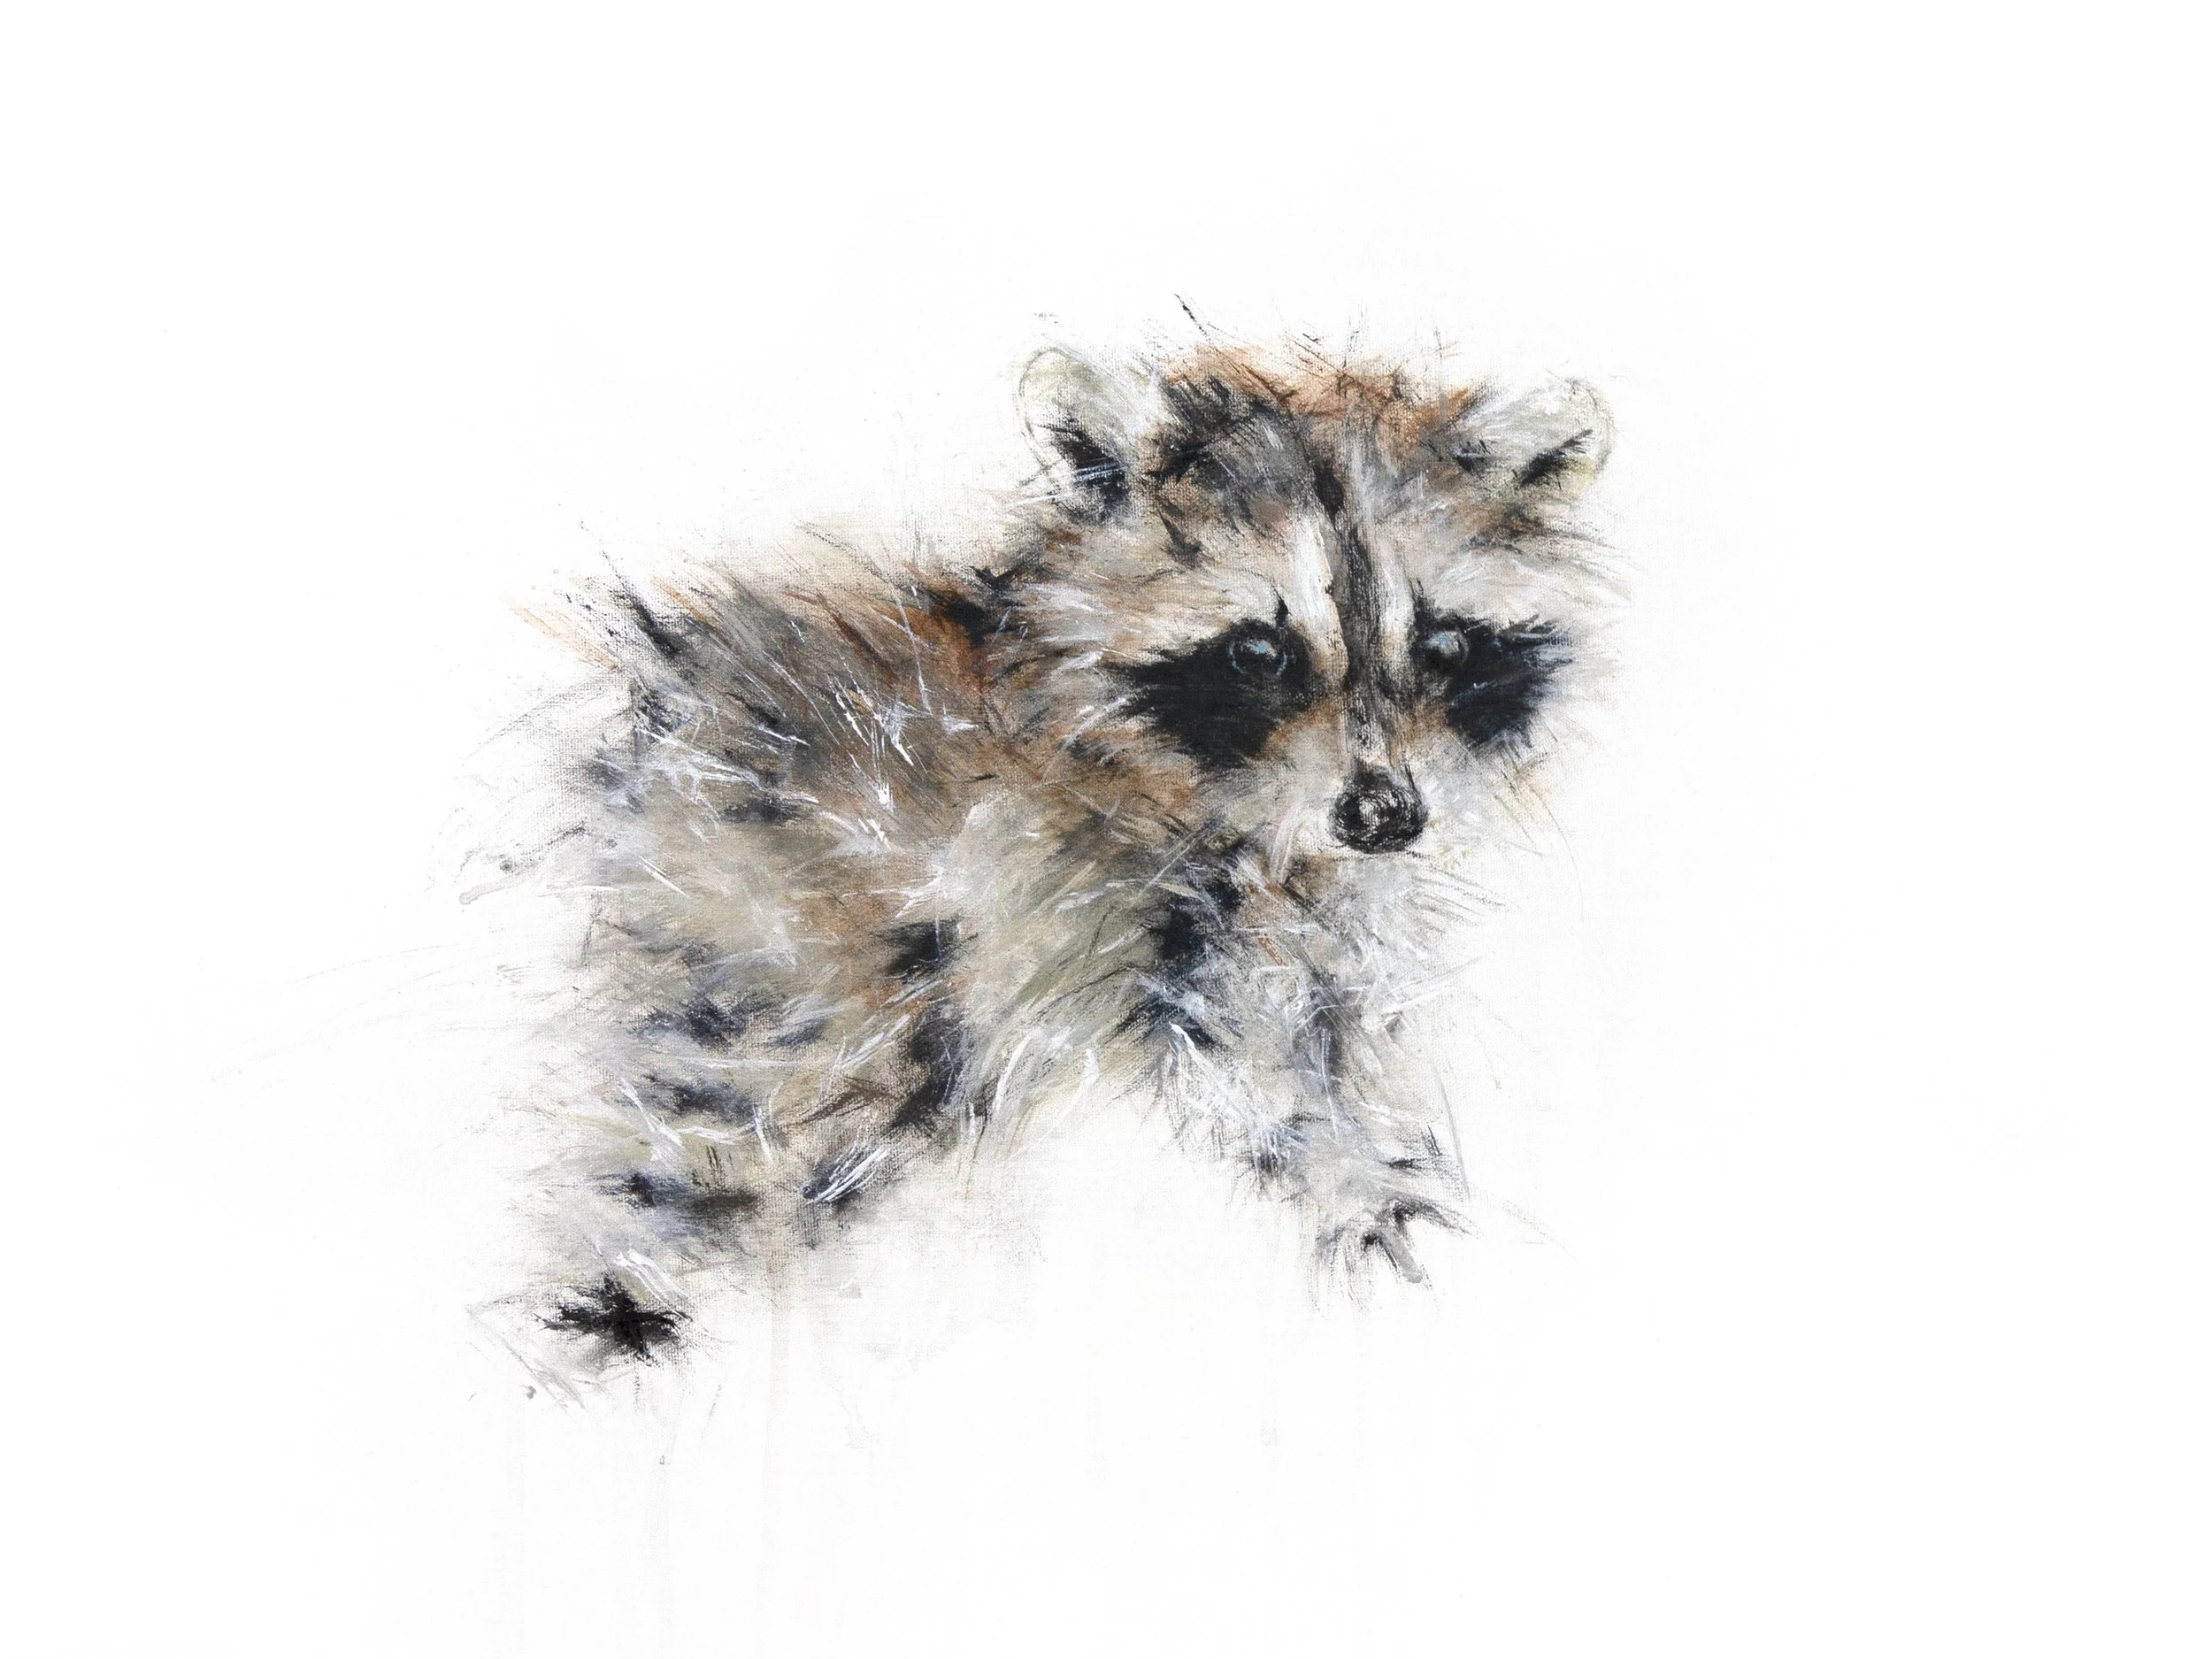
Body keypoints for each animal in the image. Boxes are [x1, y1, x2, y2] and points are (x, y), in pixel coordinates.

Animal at [508, 339, 1614, 1367]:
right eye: (1258, 652)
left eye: (1446, 647)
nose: (1382, 815)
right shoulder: (1092, 898)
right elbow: (1231, 1053)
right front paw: (1346, 1170)